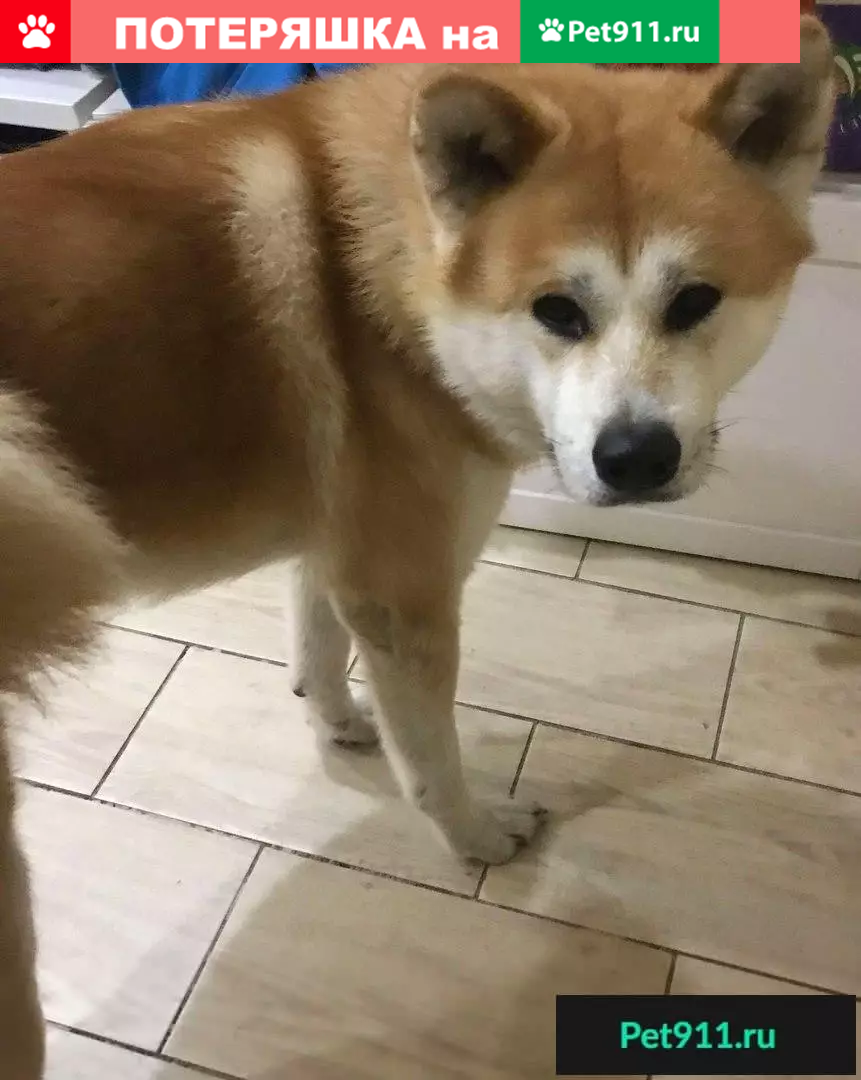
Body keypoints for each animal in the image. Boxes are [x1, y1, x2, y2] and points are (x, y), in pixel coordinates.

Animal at [0, 22, 835, 1077]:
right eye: (556, 311)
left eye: (694, 301)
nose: (636, 458)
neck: (388, 278)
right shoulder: (405, 595)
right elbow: (432, 758)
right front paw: (477, 837)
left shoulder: (338, 541)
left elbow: (316, 646)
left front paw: (337, 721)